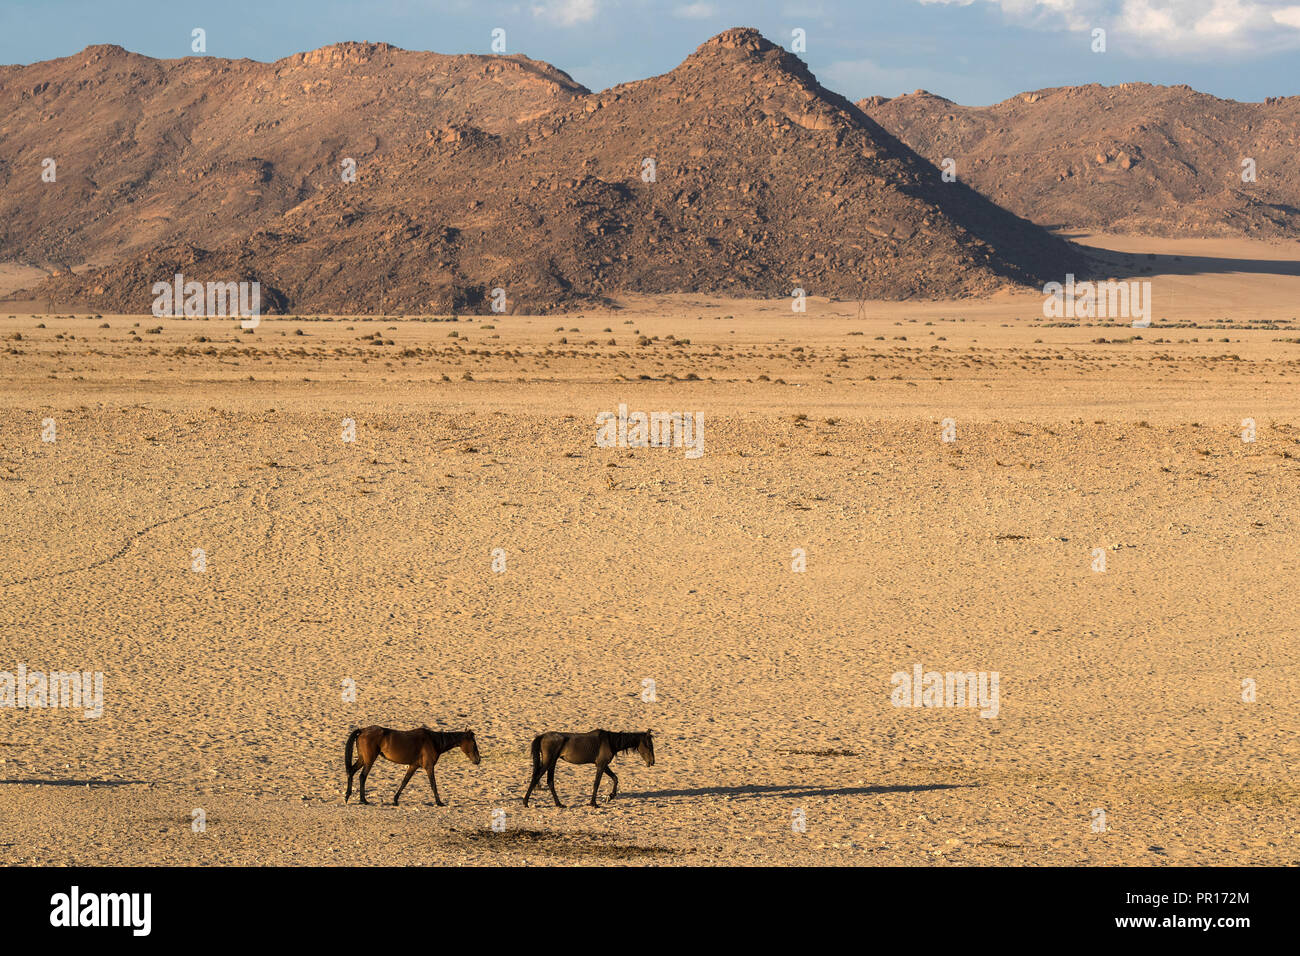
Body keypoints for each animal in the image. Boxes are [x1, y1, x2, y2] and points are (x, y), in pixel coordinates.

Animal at [345, 723, 483, 806]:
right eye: (474, 743)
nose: (478, 760)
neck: (434, 741)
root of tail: (362, 730)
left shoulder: (413, 766)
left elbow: (404, 782)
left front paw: (395, 800)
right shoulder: (429, 767)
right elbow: (433, 784)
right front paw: (439, 802)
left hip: (363, 759)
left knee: (351, 772)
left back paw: (348, 796)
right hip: (369, 760)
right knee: (362, 776)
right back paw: (363, 800)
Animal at [522, 733, 655, 806]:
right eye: (649, 745)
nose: (652, 762)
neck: (610, 741)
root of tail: (542, 736)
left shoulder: (603, 765)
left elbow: (615, 778)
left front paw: (610, 796)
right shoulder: (601, 765)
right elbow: (597, 783)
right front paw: (593, 803)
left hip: (552, 762)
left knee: (549, 781)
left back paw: (559, 804)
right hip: (549, 762)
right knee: (536, 777)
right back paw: (525, 802)